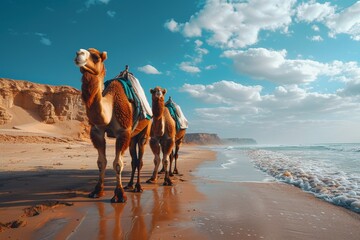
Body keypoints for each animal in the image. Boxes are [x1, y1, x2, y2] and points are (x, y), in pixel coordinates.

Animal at [74, 47, 150, 202]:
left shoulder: (123, 131)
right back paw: (129, 185)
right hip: (132, 136)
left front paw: (119, 195)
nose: (79, 54)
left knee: (140, 160)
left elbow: (118, 163)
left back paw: (138, 187)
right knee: (134, 160)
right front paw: (97, 190)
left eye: (96, 57)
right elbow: (101, 162)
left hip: (145, 131)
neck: (111, 104)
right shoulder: (97, 132)